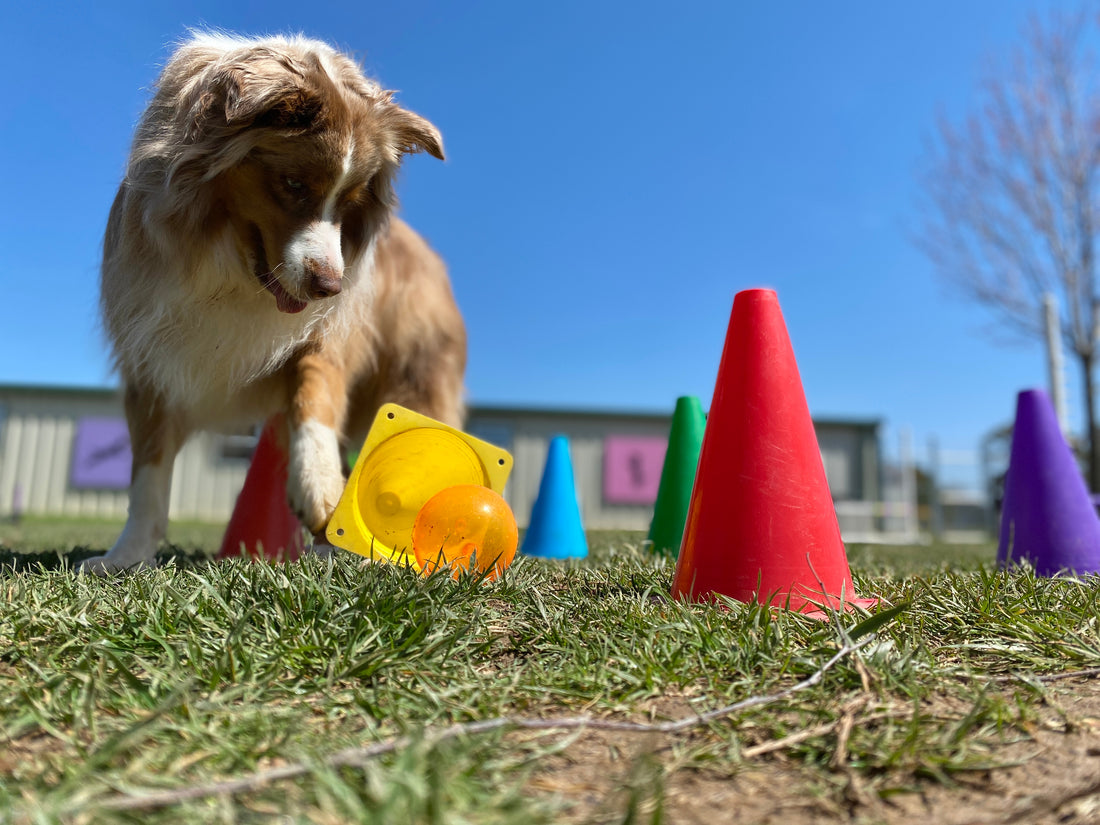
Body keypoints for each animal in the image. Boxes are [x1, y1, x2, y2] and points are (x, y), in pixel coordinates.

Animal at [82, 33, 464, 576]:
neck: (231, 270)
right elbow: (147, 473)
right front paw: (124, 557)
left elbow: (314, 390)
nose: (330, 286)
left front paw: (320, 489)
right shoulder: (151, 349)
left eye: (350, 202)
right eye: (294, 184)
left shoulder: (325, 333)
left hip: (418, 372)